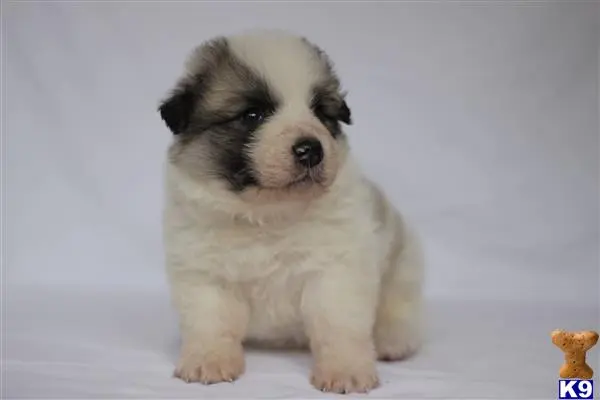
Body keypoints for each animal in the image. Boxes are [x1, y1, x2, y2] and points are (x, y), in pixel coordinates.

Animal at [157, 29, 424, 396]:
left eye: (320, 112)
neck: (269, 213)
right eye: (252, 115)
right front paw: (208, 361)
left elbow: (338, 325)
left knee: (399, 308)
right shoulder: (204, 273)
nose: (311, 149)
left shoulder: (336, 270)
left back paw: (392, 342)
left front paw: (345, 370)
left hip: (402, 264)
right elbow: (211, 321)